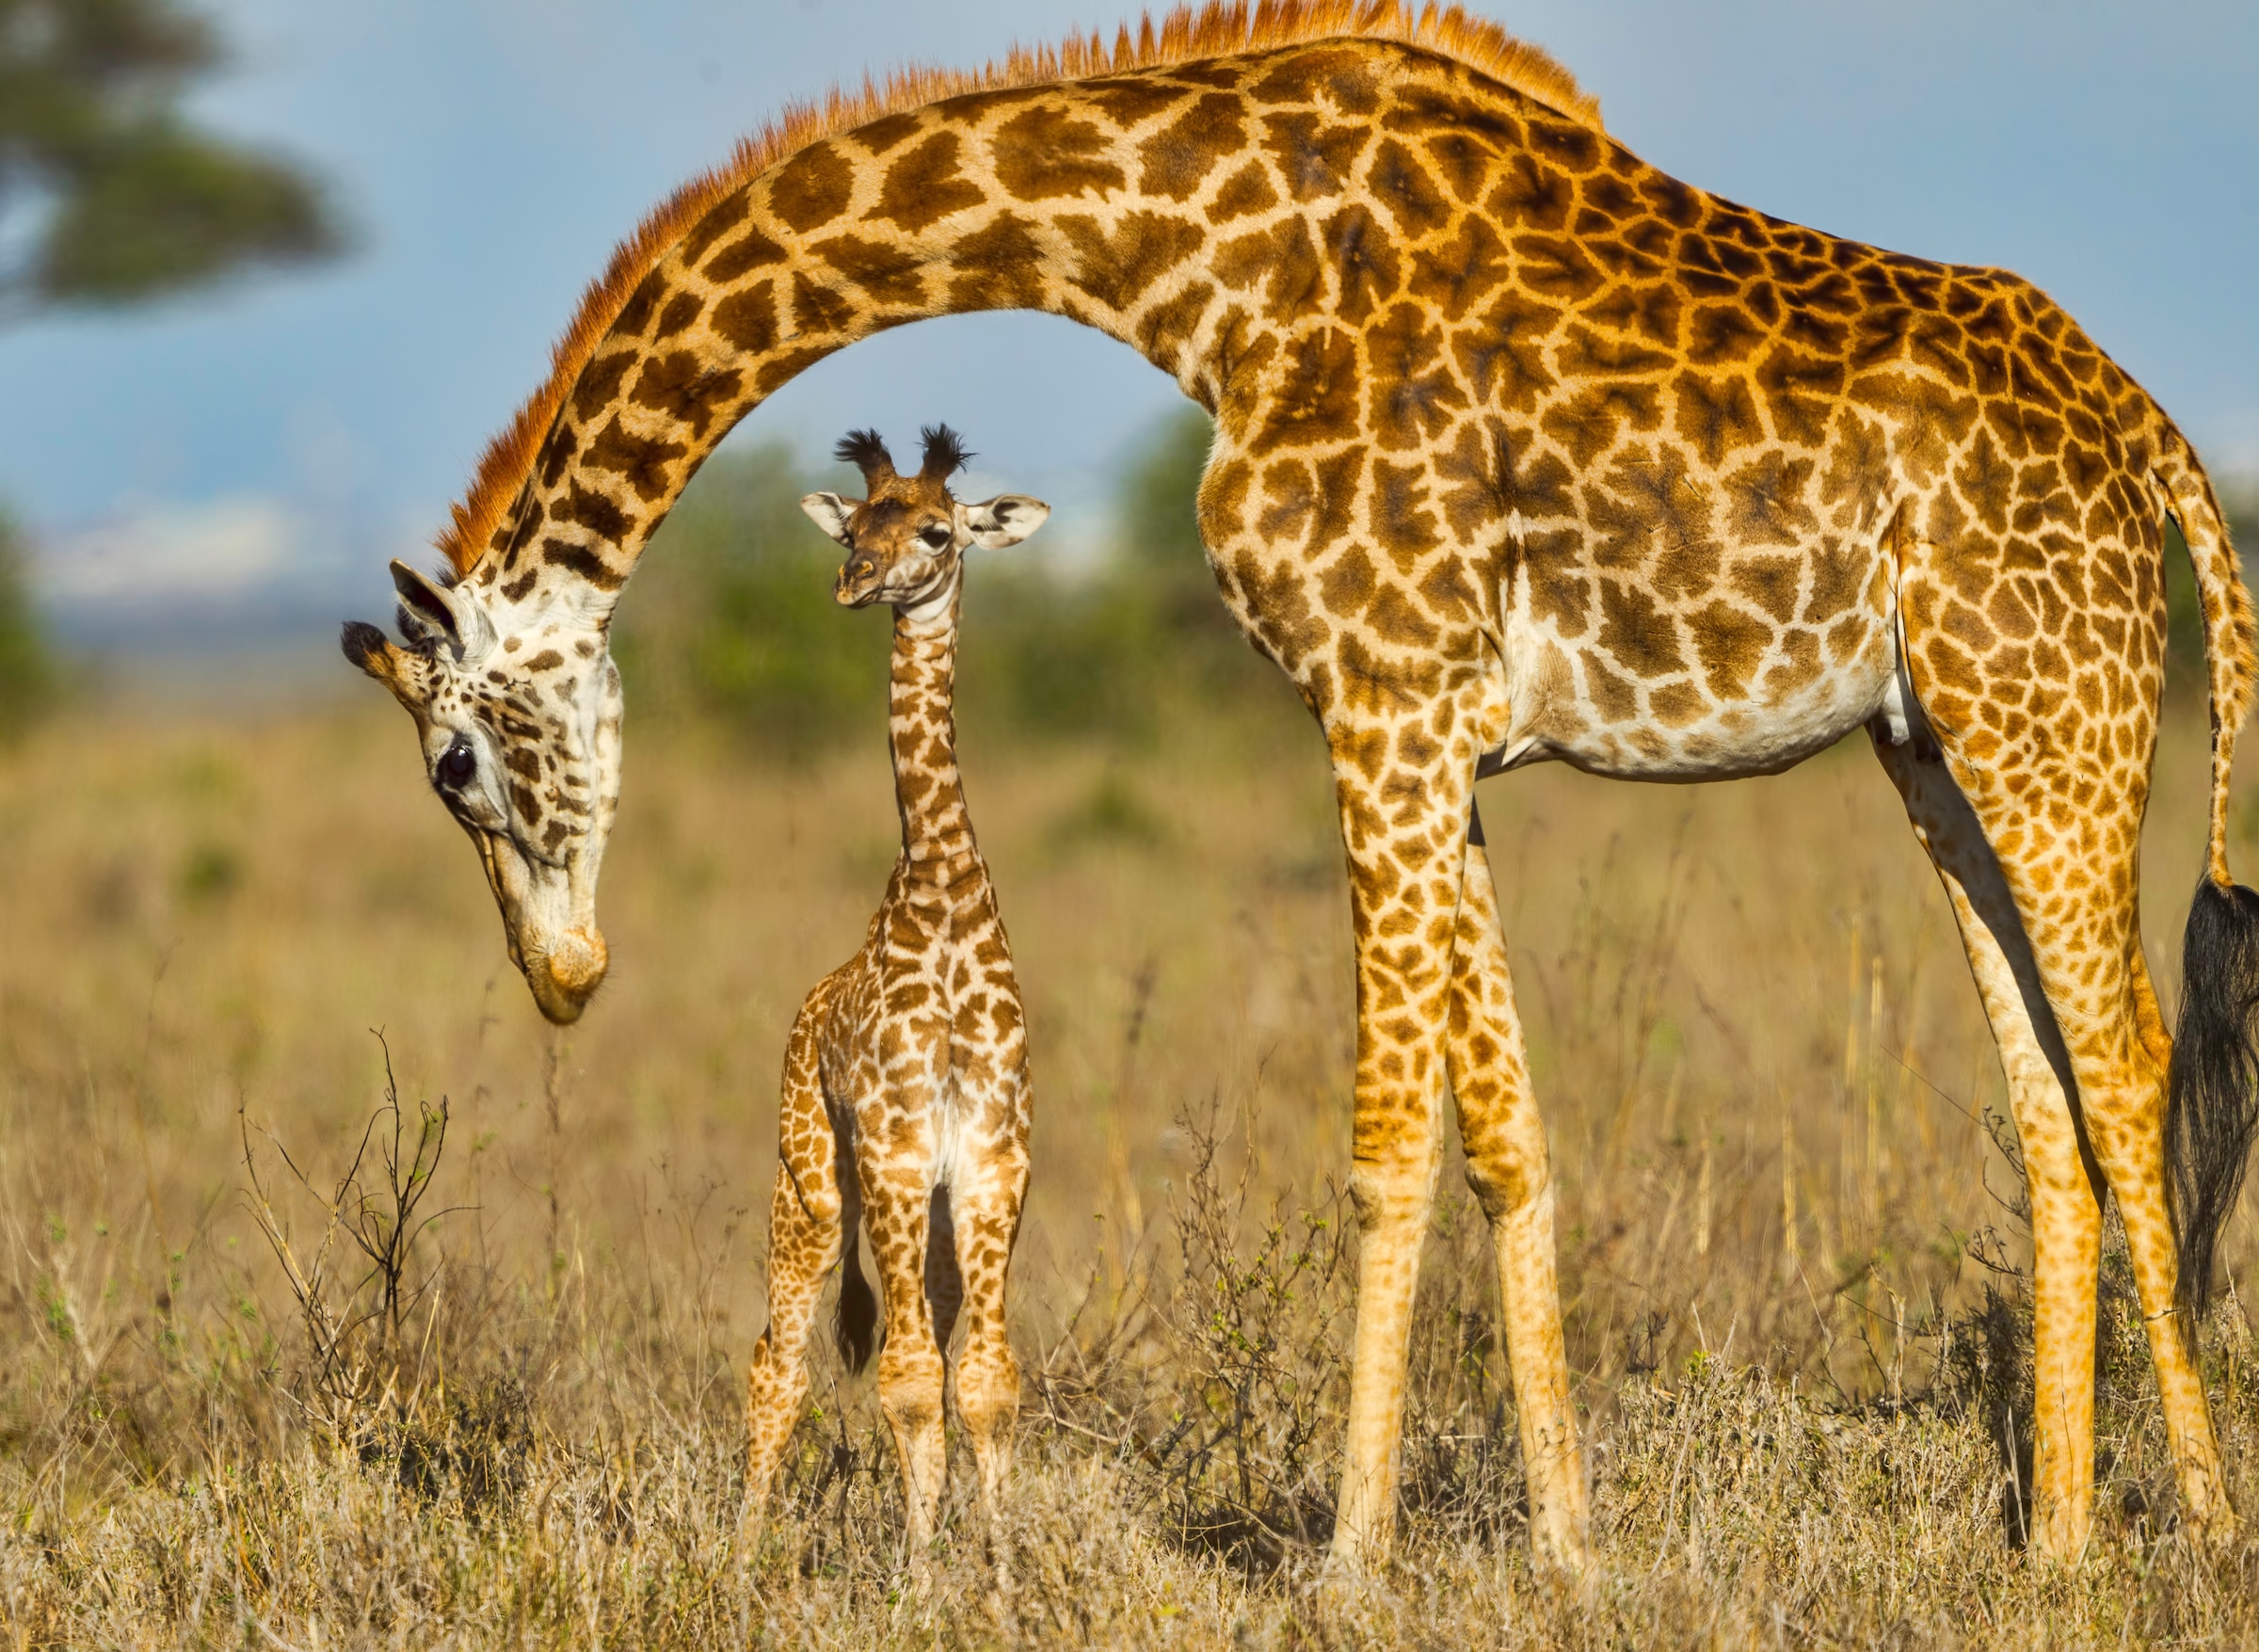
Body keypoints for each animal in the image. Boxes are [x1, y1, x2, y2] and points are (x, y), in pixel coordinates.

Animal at [745, 422, 1052, 1554]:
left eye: (934, 529)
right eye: (855, 528)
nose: (853, 580)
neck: (946, 900)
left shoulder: (993, 1159)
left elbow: (986, 1383)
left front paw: (1001, 1567)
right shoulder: (892, 1147)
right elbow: (911, 1382)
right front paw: (918, 1573)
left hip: (930, 1218)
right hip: (810, 1186)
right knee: (776, 1364)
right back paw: (738, 1556)